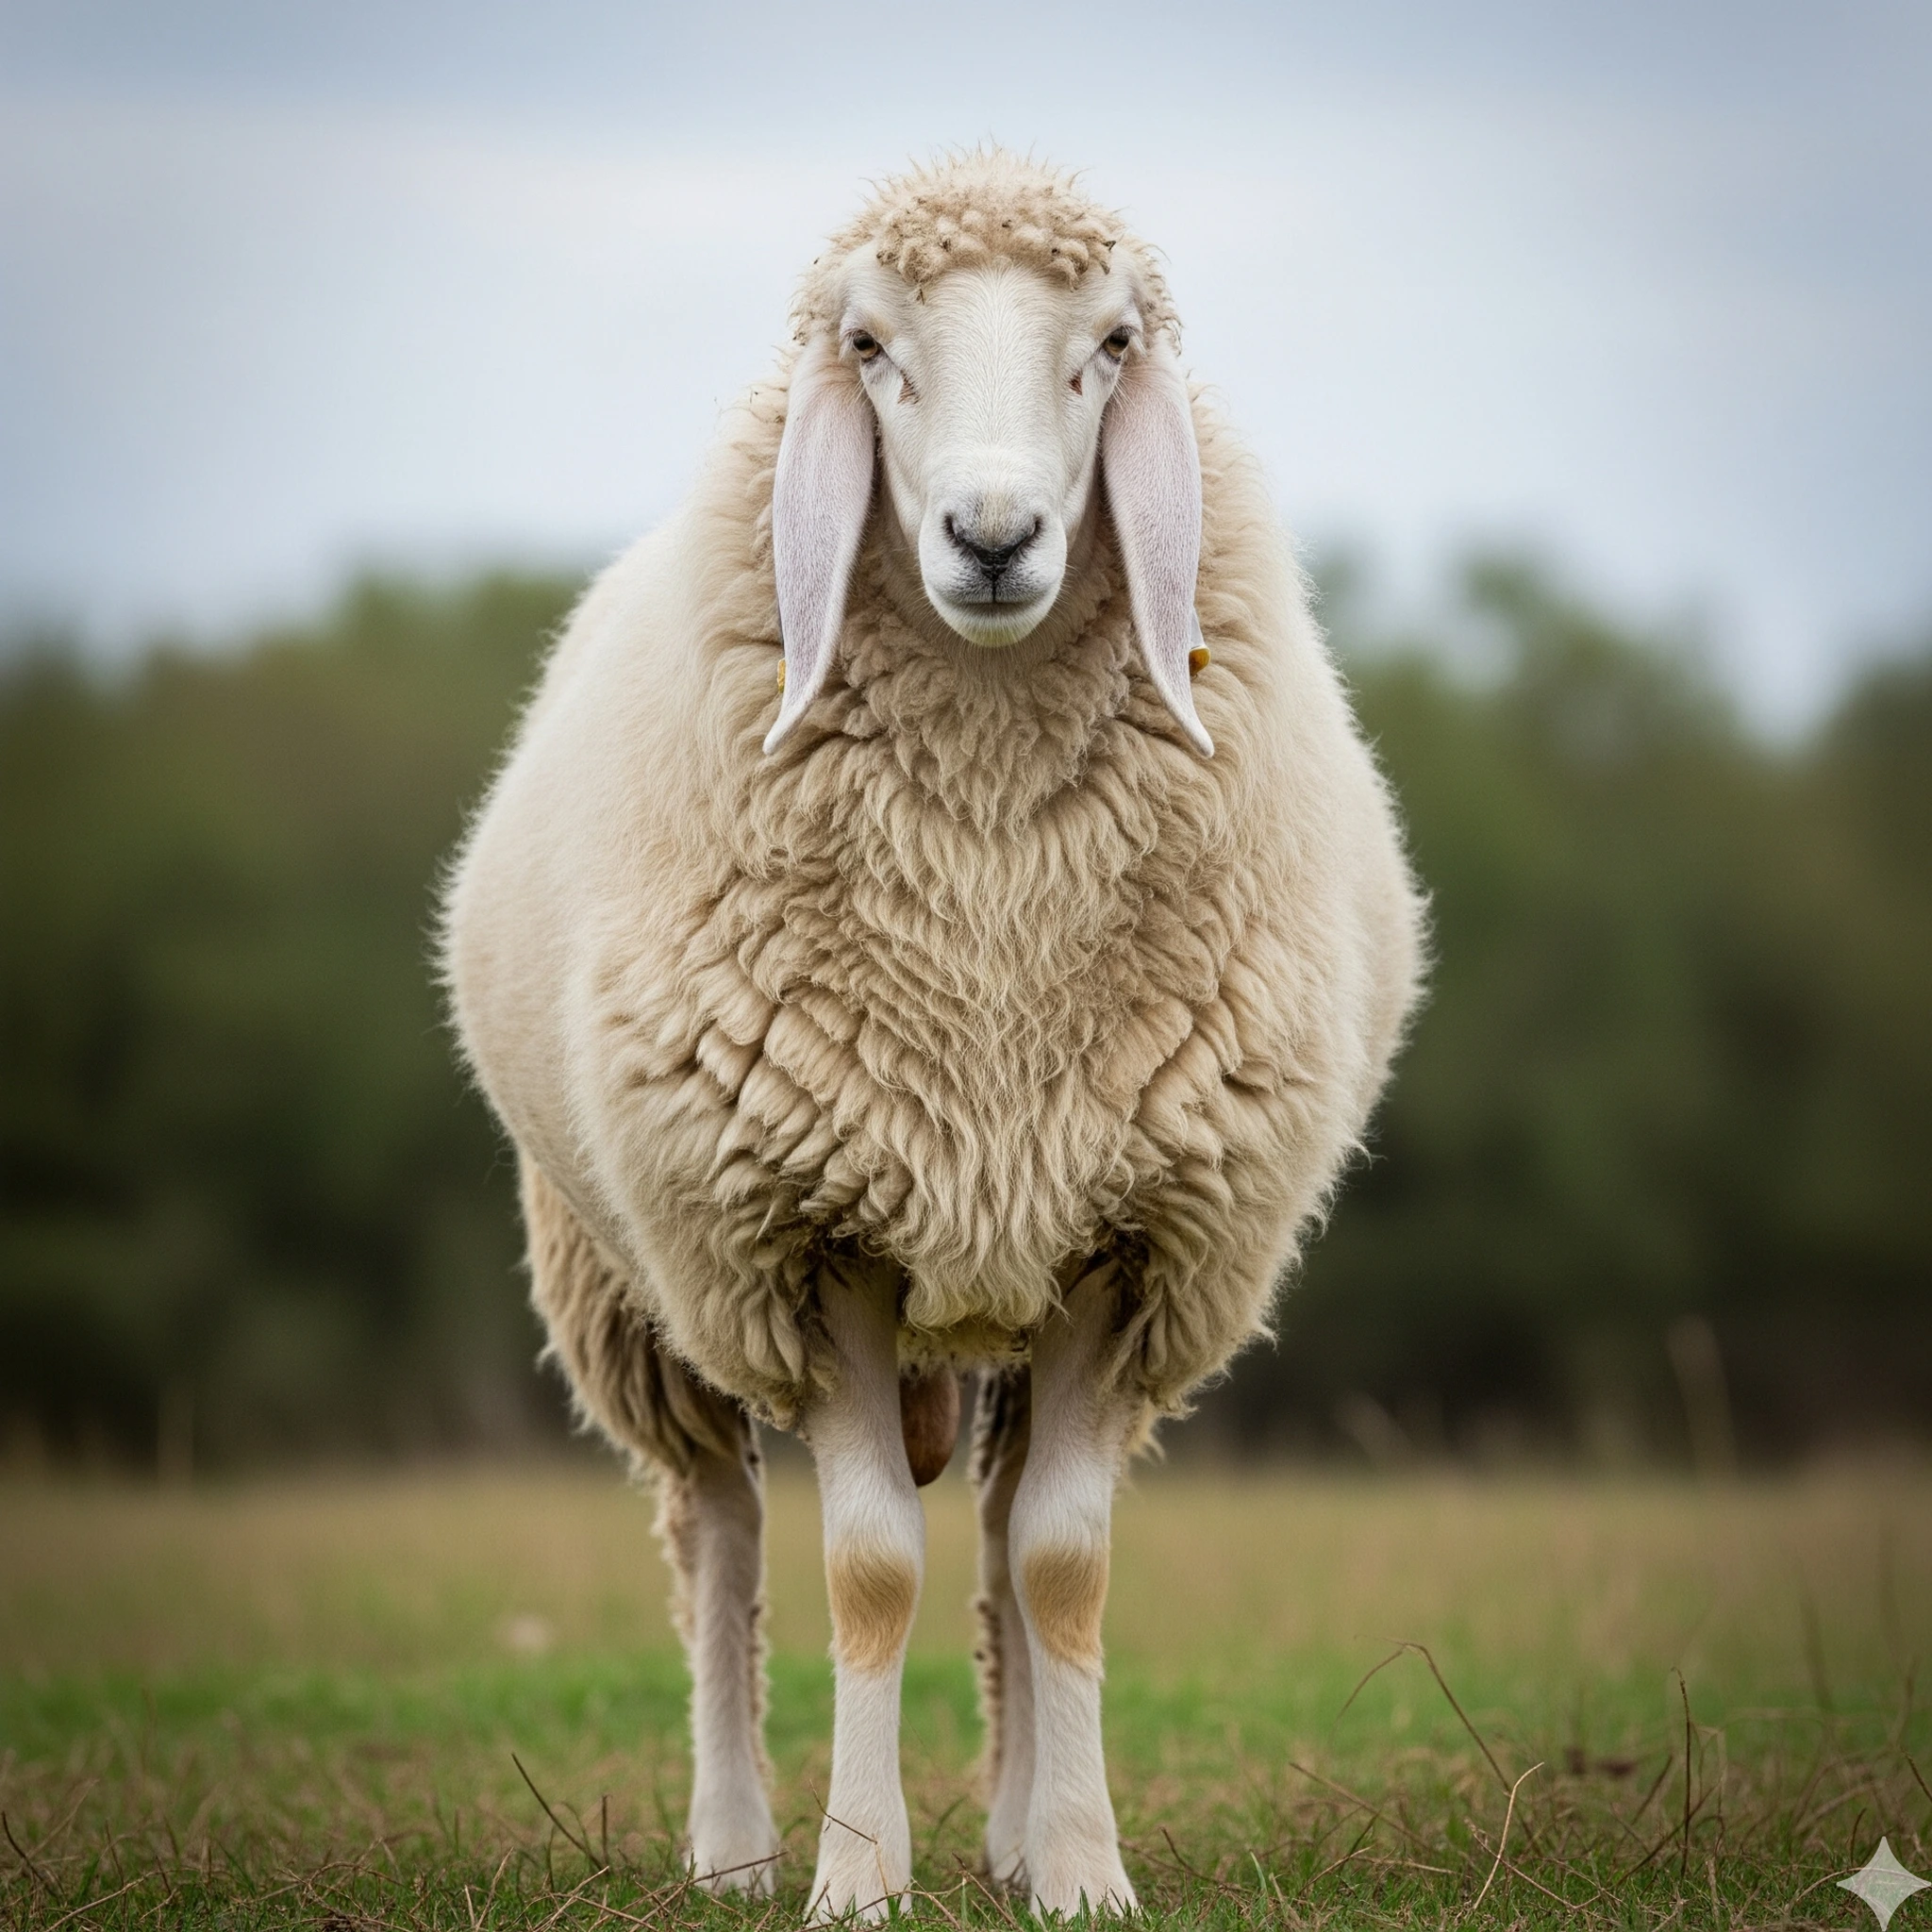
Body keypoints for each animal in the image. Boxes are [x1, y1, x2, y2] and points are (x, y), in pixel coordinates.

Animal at [441, 149, 1425, 1919]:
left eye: (1110, 346)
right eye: (868, 346)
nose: (991, 534)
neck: (987, 892)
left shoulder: (1128, 1238)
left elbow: (1059, 1562)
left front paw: (1085, 1868)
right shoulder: (805, 1237)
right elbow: (864, 1568)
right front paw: (854, 1874)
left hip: (1005, 1271)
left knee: (1000, 1527)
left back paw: (1015, 1830)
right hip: (641, 1282)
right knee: (717, 1535)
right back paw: (737, 1841)